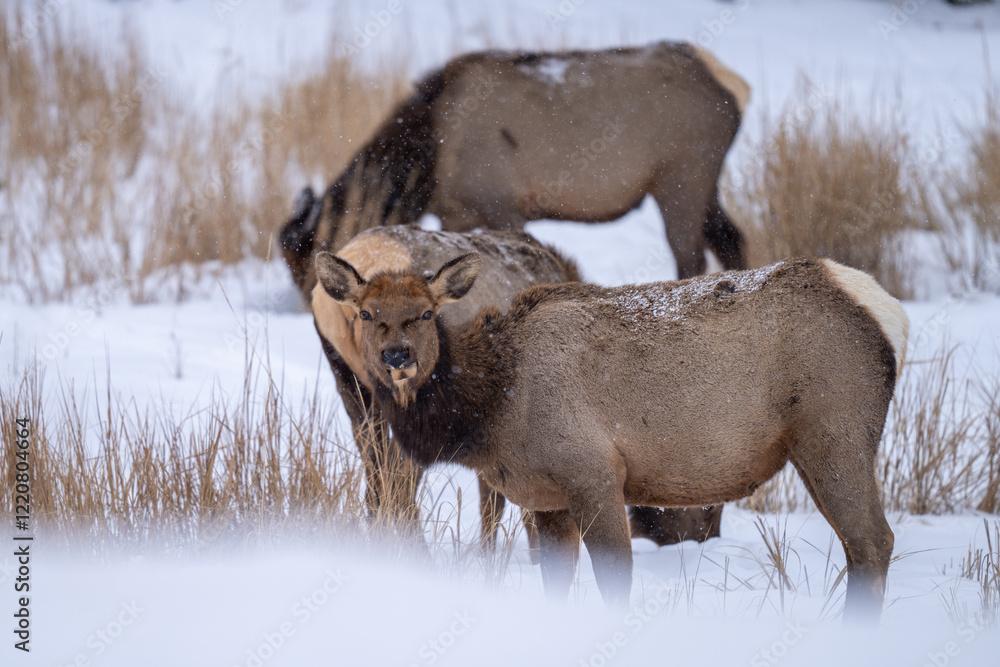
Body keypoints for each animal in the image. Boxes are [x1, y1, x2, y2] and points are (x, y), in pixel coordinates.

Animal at [313, 250, 909, 620]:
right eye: (366, 312)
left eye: (425, 313)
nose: (397, 356)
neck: (491, 412)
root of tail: (890, 314)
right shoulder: (544, 496)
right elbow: (556, 584)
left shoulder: (593, 472)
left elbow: (615, 578)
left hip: (834, 430)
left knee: (872, 541)